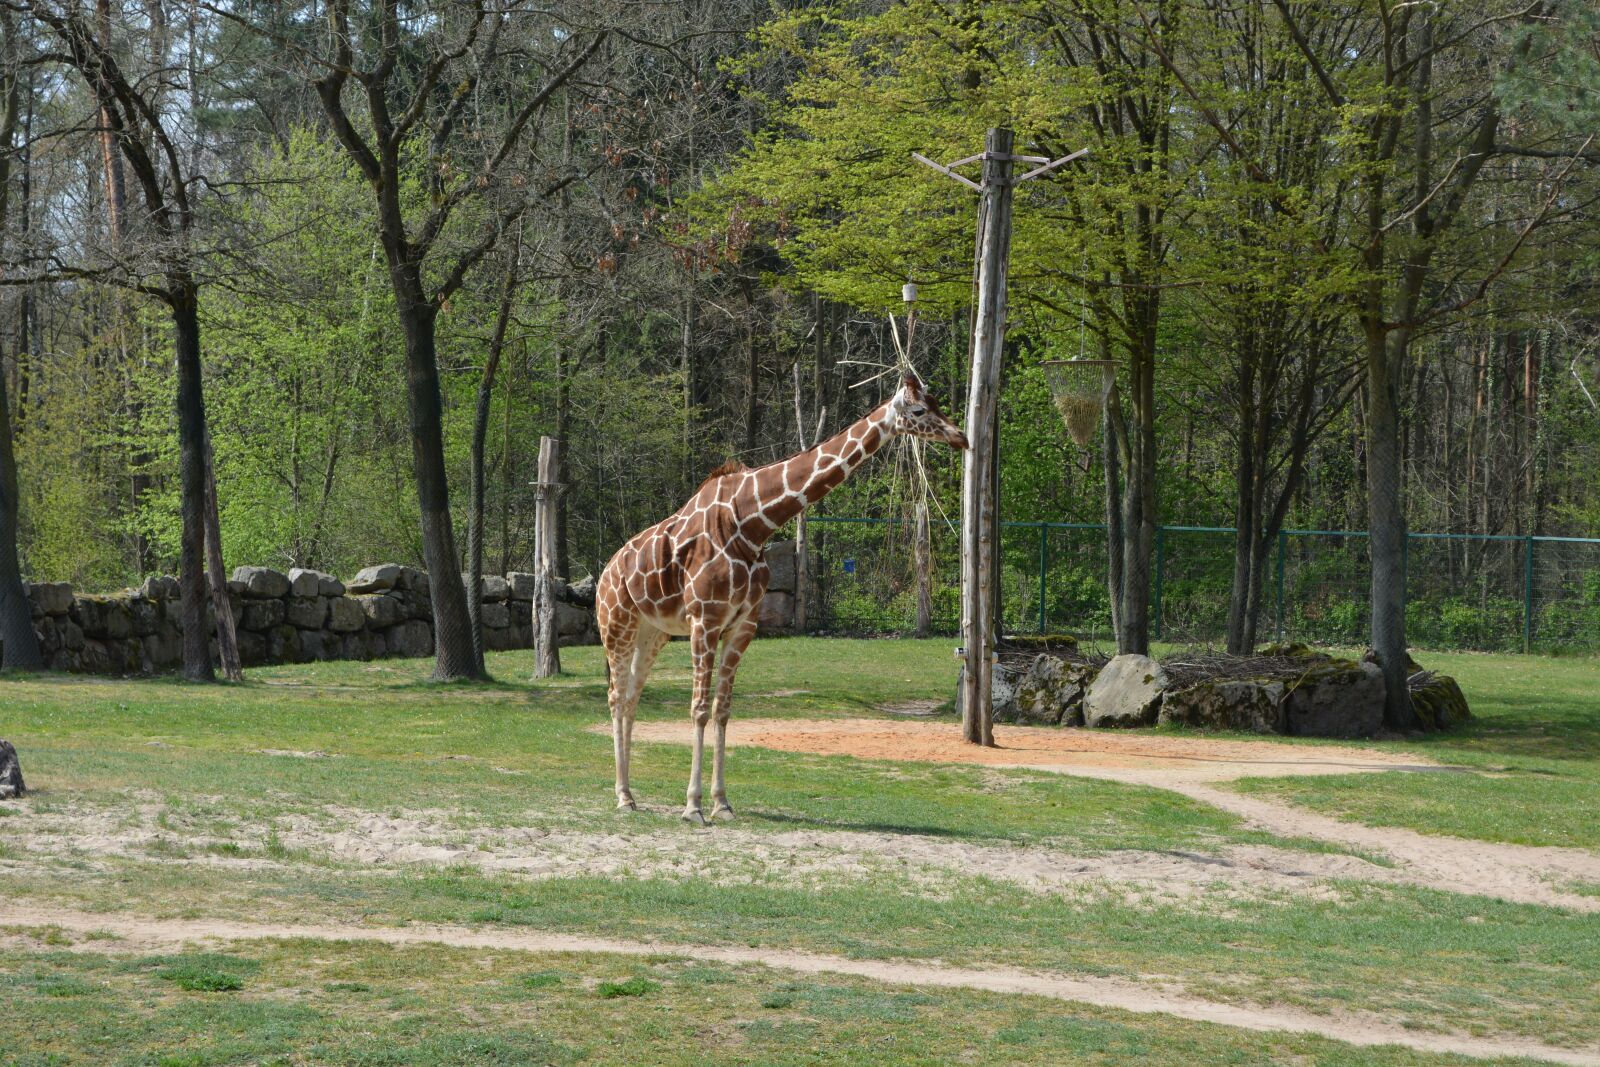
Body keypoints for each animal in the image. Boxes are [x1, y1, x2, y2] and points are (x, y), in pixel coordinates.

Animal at [596, 373, 969, 824]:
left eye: (936, 402)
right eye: (918, 410)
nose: (961, 436)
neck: (753, 522)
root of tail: (604, 572)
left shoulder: (742, 624)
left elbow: (722, 709)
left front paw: (722, 803)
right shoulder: (706, 619)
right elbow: (699, 707)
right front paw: (693, 807)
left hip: (653, 633)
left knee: (631, 697)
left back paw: (631, 794)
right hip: (616, 624)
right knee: (616, 696)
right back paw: (620, 796)